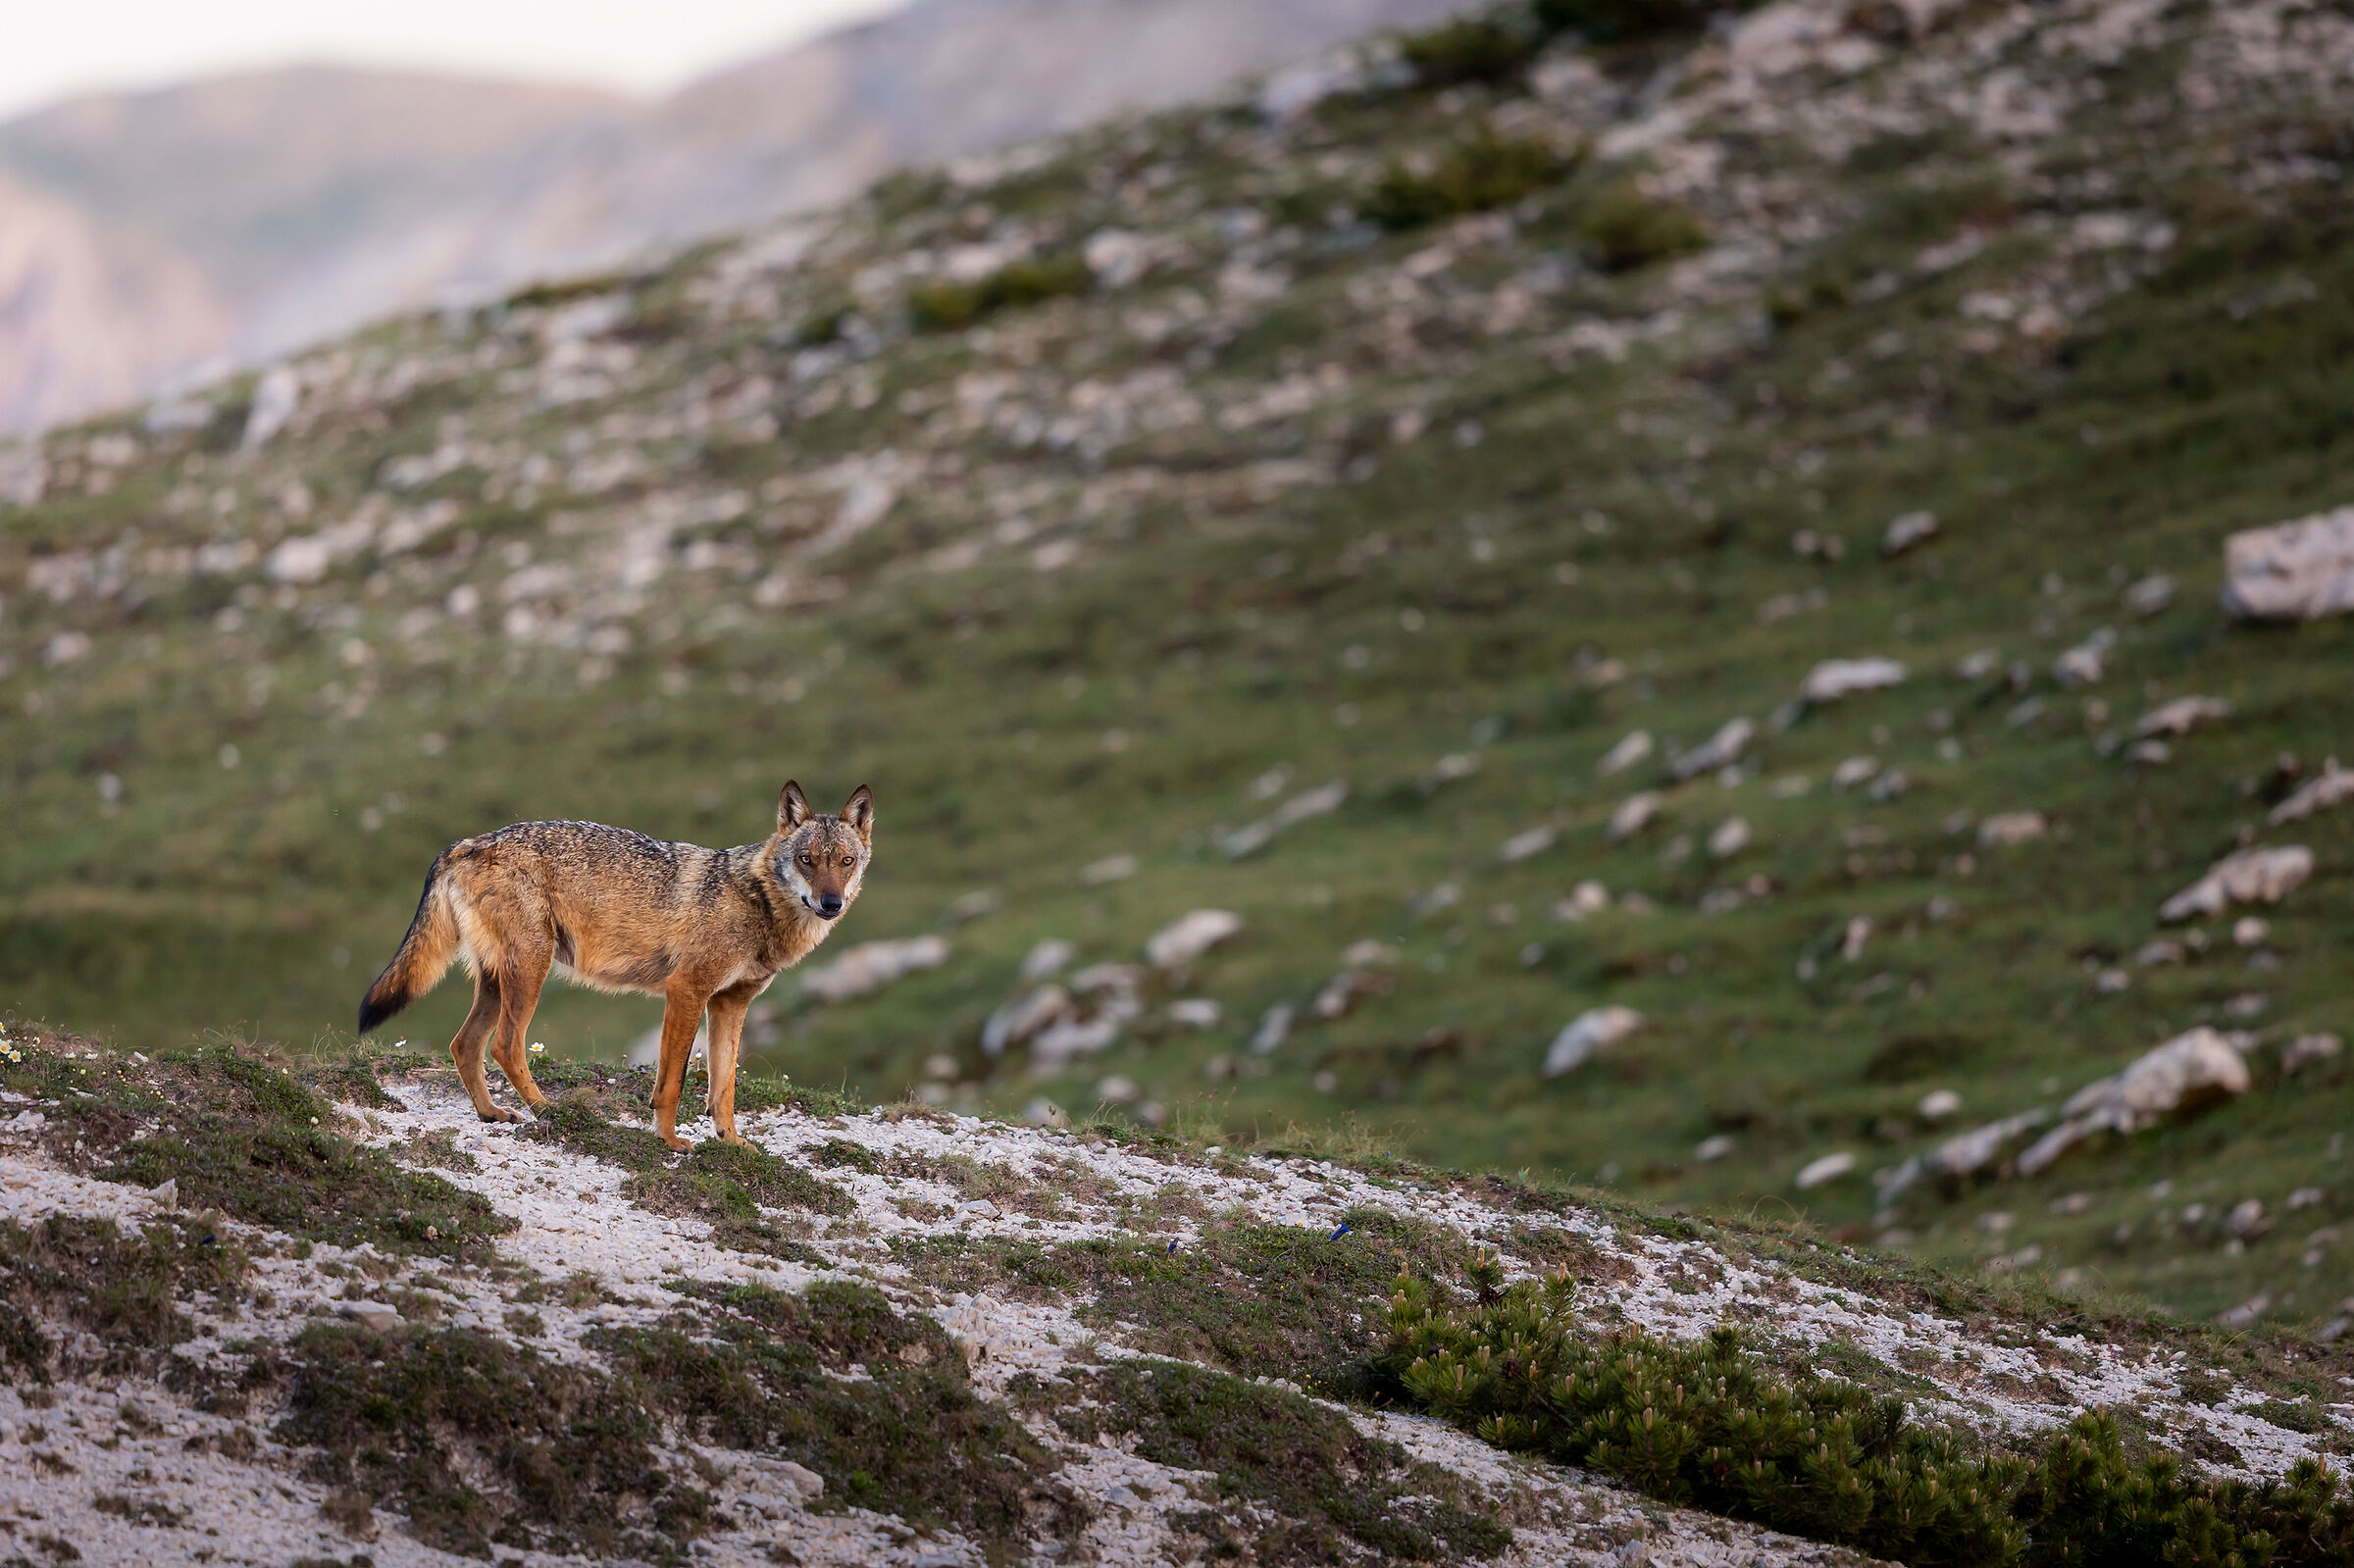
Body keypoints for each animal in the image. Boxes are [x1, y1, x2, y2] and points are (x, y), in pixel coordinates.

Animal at [357, 781, 872, 1148]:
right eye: (806, 860)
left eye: (845, 861)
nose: (830, 903)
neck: (758, 902)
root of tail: (465, 843)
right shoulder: (687, 991)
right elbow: (673, 1082)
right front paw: (669, 1141)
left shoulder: (730, 1004)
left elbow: (723, 1089)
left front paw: (732, 1144)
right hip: (531, 971)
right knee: (505, 1046)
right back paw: (549, 1109)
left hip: (497, 981)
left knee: (465, 1045)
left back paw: (493, 1113)